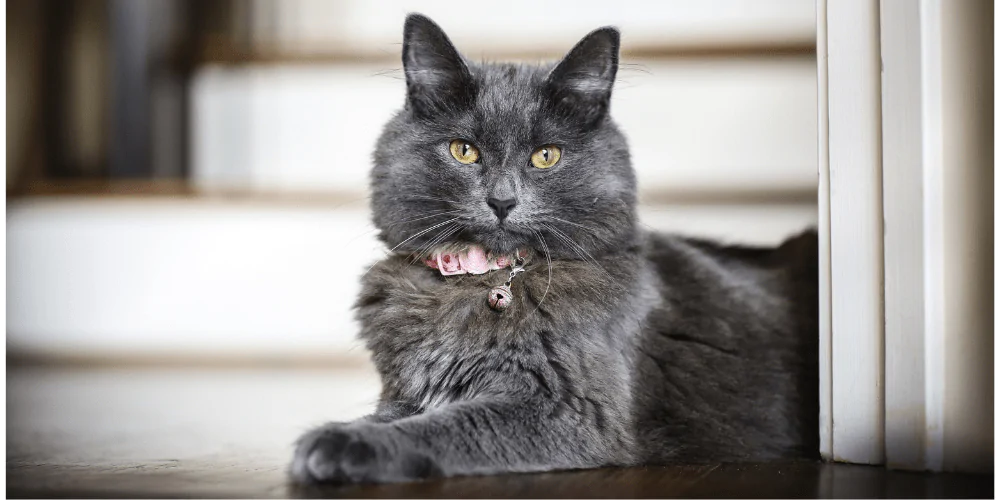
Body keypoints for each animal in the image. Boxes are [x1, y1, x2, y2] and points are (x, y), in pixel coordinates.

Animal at [290, 13, 820, 484]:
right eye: (464, 151)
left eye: (546, 156)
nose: (502, 201)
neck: (481, 277)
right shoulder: (405, 392)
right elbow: (387, 415)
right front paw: (329, 437)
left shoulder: (568, 410)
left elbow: (443, 426)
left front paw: (346, 446)